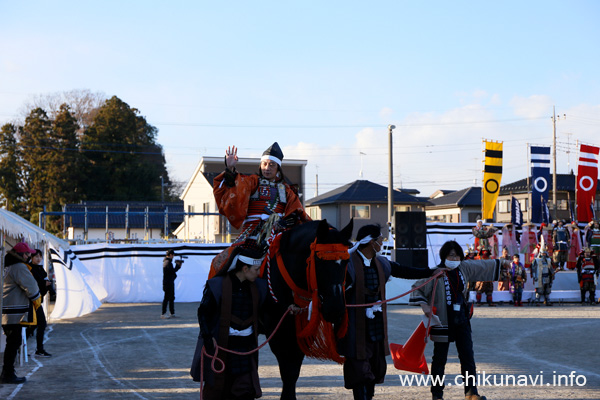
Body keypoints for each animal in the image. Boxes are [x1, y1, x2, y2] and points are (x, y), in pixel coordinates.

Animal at [262, 219, 352, 400]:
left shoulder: (298, 330)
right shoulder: (276, 331)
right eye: (319, 261)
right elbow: (287, 370)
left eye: (346, 261)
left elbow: (293, 371)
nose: (335, 308)